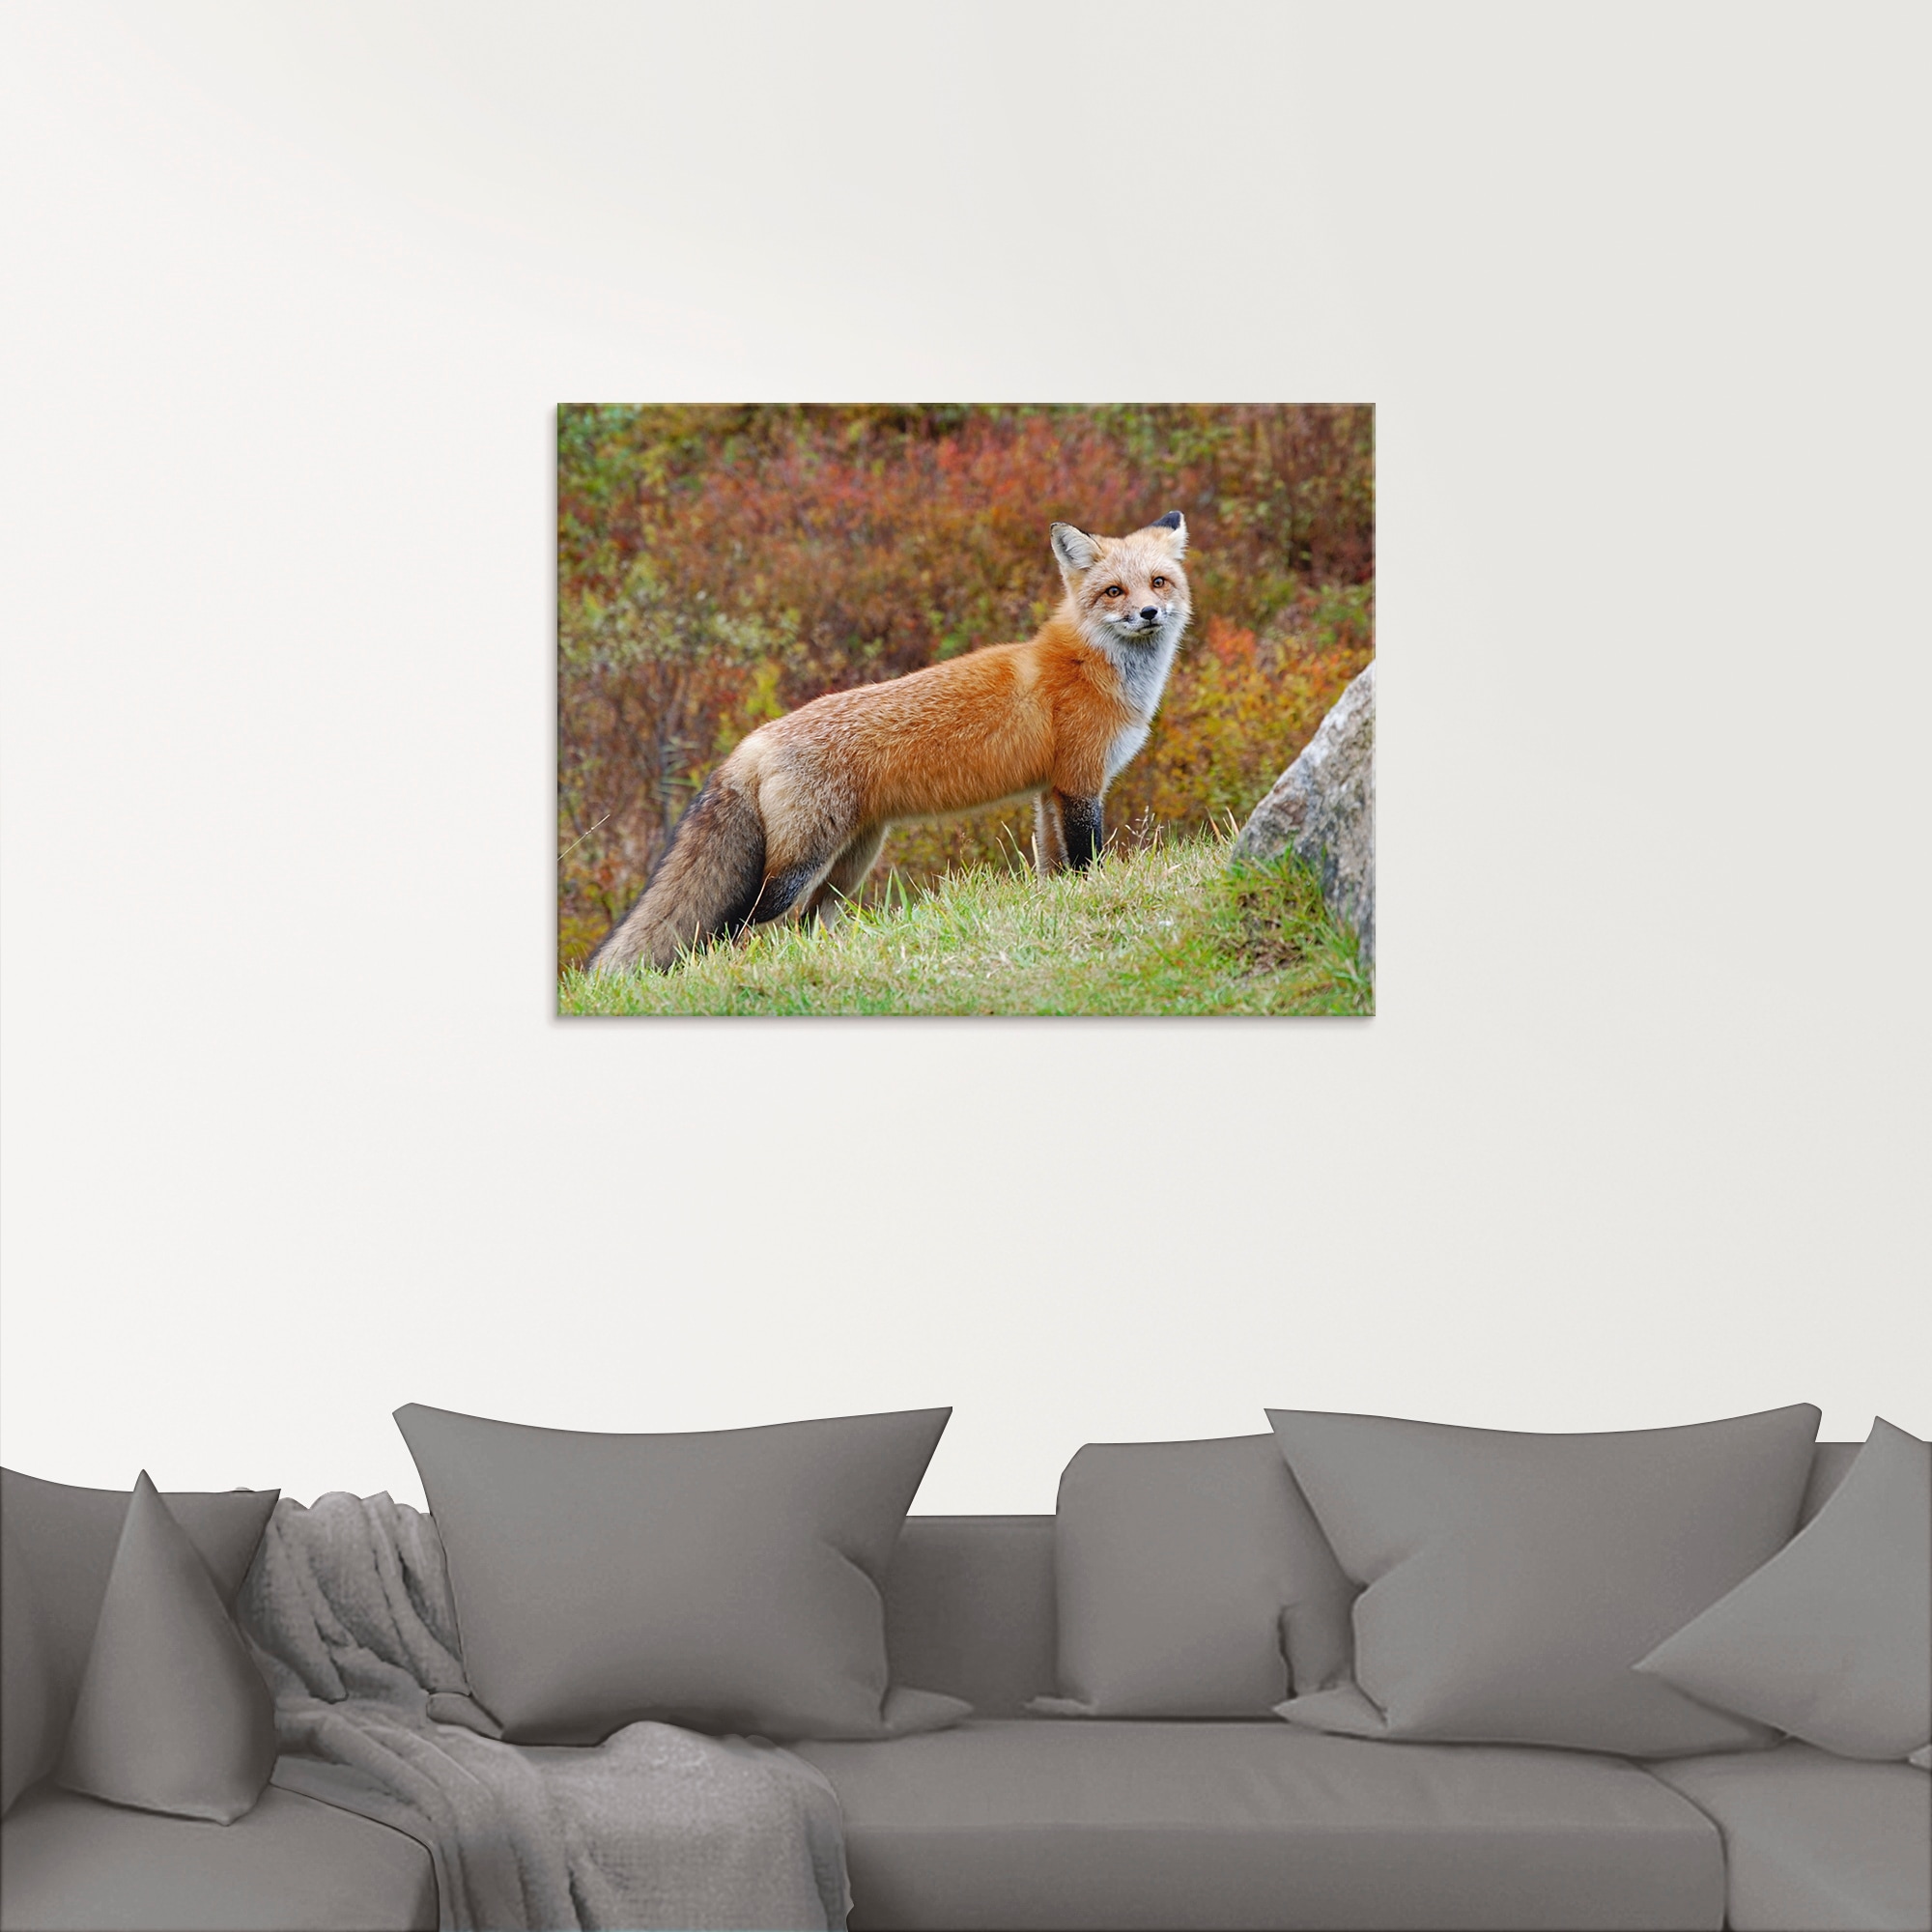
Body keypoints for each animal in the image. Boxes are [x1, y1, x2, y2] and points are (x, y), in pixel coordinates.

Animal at [585, 511, 1193, 975]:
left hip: (851, 862)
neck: (1093, 667)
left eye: (1159, 582)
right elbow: (1088, 862)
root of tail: (753, 741)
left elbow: (1053, 867)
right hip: (798, 866)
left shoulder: (1051, 791)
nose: (1148, 613)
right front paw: (1093, 896)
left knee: (807, 922)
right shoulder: (1081, 783)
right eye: (1114, 591)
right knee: (737, 923)